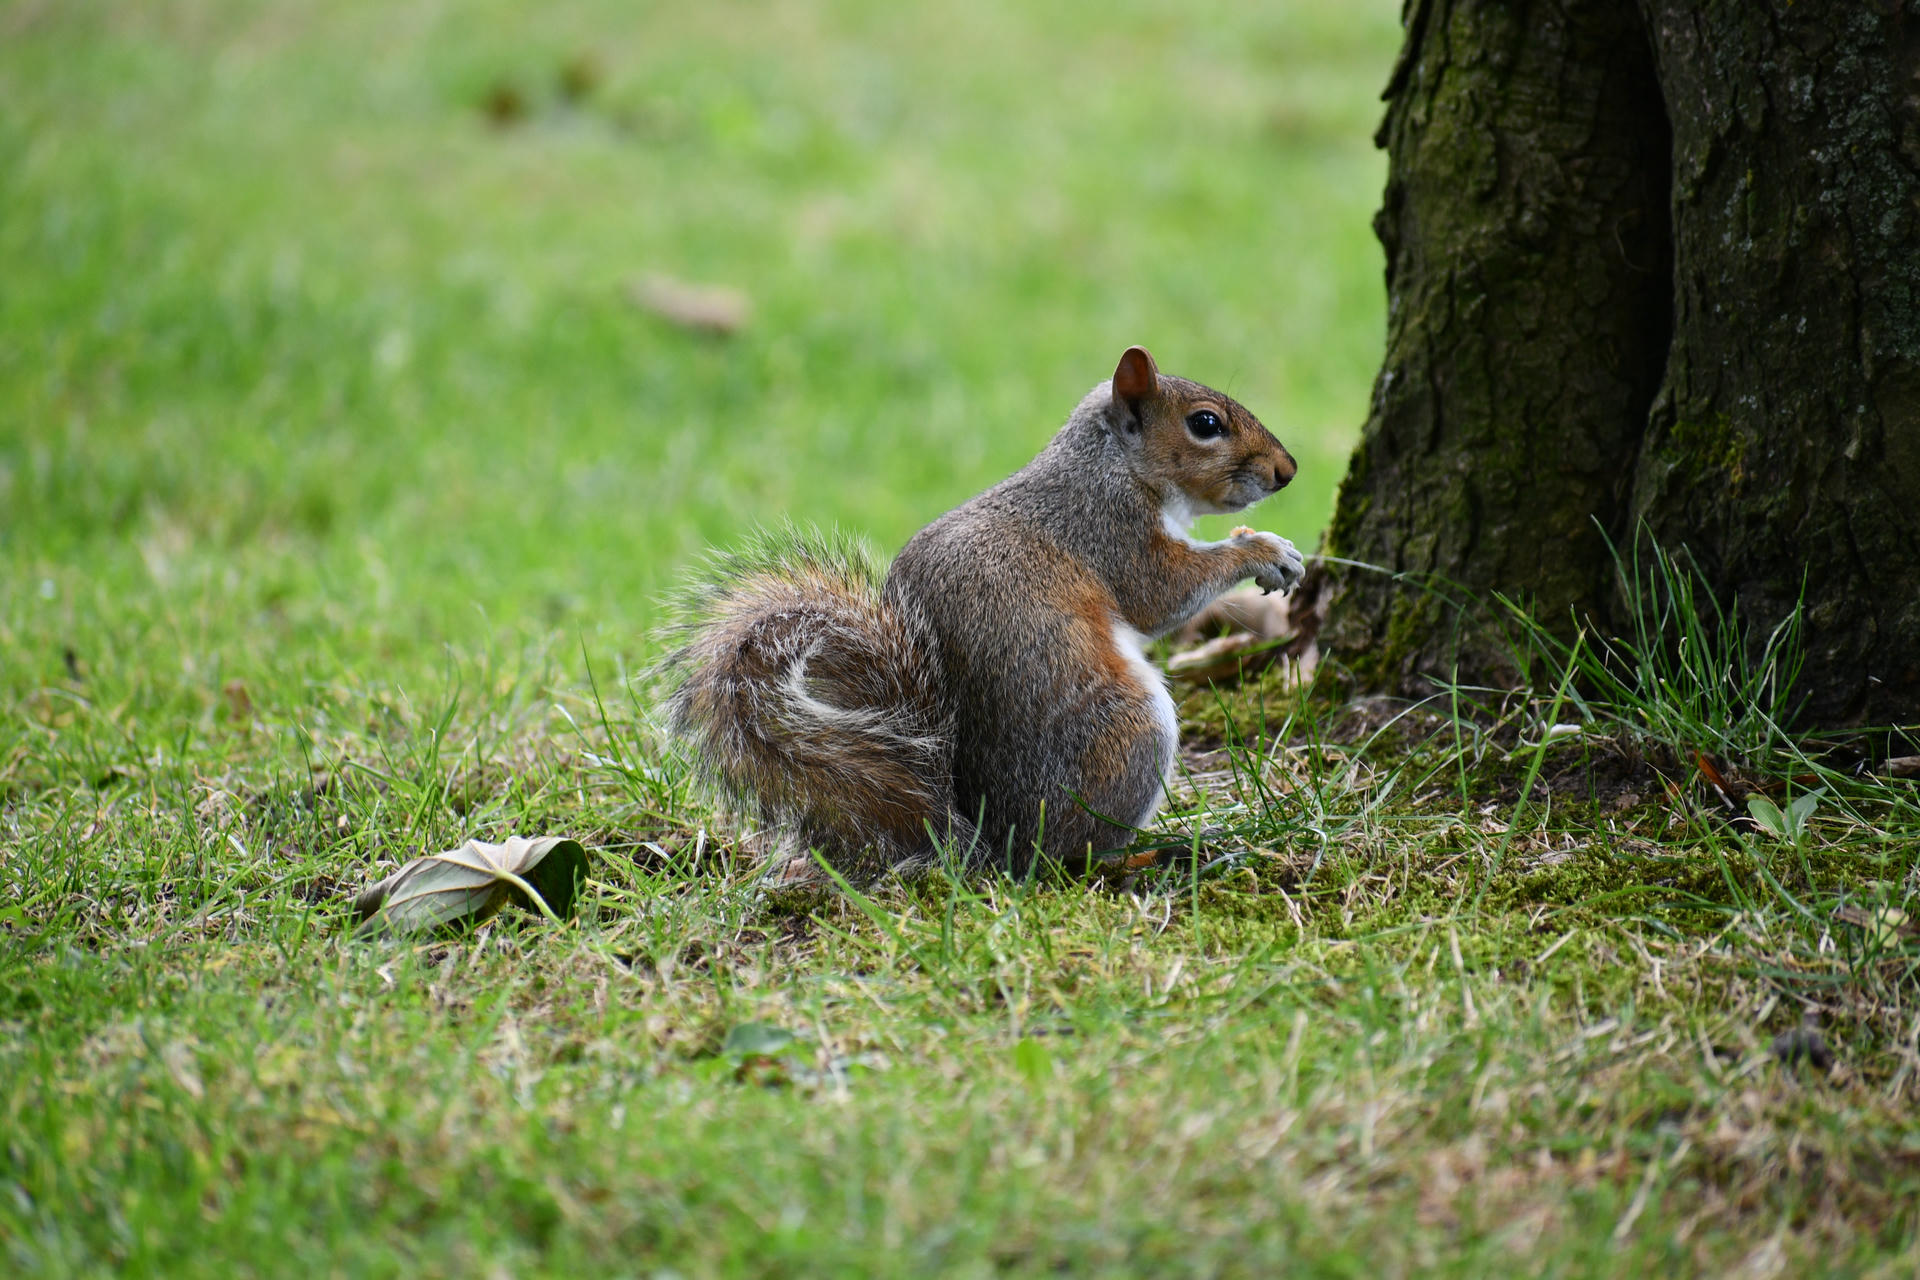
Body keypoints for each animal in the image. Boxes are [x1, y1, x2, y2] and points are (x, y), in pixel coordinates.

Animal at [662, 345, 1303, 881]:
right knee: (1069, 855)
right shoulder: (1110, 532)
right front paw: (1264, 551)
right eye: (1206, 424)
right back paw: (1155, 852)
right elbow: (1162, 596)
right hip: (1130, 731)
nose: (1288, 471)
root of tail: (992, 844)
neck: (1112, 465)